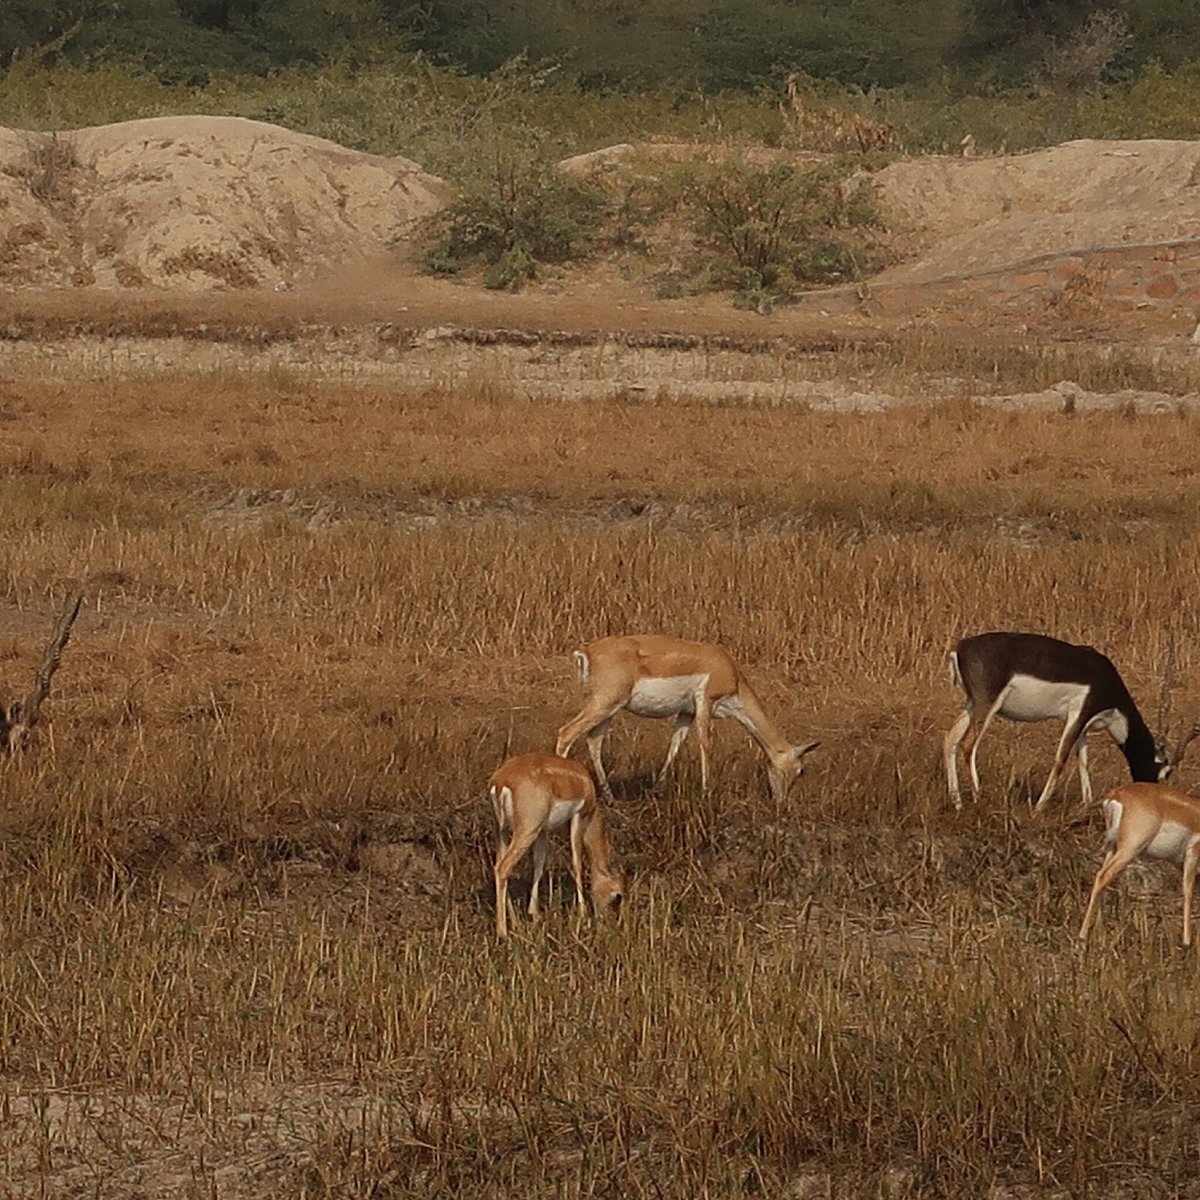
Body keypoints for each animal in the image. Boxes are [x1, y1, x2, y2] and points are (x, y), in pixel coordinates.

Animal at [484, 748, 624, 936]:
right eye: (617, 896)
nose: (611, 922)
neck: (582, 782)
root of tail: (501, 781)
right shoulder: (578, 817)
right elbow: (577, 864)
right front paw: (583, 915)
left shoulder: (543, 831)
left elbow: (539, 863)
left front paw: (534, 914)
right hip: (526, 831)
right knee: (503, 867)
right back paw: (503, 932)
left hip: (502, 831)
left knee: (498, 865)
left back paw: (516, 923)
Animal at [549, 633, 816, 801]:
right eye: (800, 770)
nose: (781, 802)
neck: (732, 673)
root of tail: (587, 650)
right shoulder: (705, 702)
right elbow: (705, 745)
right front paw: (707, 792)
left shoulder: (686, 712)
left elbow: (675, 745)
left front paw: (657, 790)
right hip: (603, 705)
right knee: (566, 733)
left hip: (608, 710)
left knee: (594, 742)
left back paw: (610, 797)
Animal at [940, 633, 1166, 811]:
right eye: (1165, 772)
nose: (1154, 800)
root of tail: (960, 648)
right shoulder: (1079, 714)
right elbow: (1061, 760)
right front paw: (1039, 807)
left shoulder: (1083, 726)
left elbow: (1083, 761)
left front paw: (1087, 804)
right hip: (987, 705)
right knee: (967, 744)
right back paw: (977, 797)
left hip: (973, 705)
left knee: (950, 739)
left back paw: (957, 802)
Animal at [1084, 782, 1200, 950]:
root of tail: (1117, 794)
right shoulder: (1192, 855)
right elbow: (1188, 894)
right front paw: (1186, 942)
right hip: (1130, 849)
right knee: (1103, 876)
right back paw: (1083, 937)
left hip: (1113, 848)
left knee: (1102, 878)